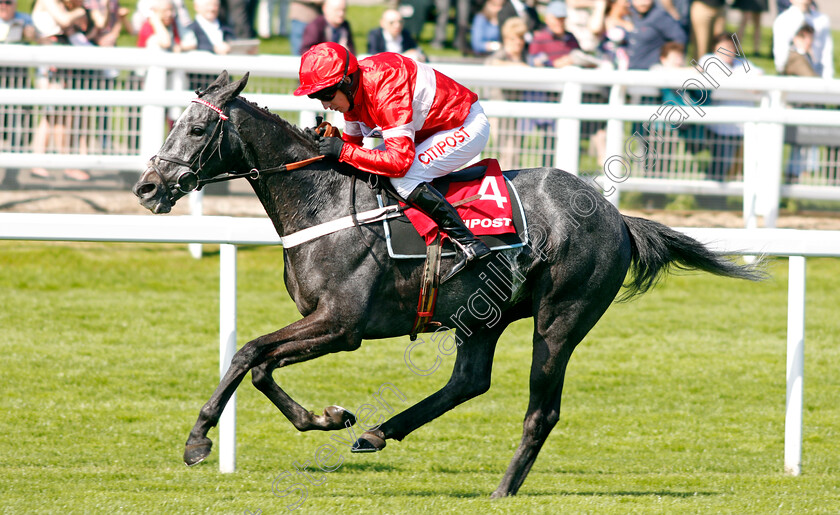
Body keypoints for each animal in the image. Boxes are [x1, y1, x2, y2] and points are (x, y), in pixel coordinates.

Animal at [133, 70, 760, 498]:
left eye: (195, 127)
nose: (147, 187)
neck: (323, 202)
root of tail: (615, 216)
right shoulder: (323, 322)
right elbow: (262, 365)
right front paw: (329, 418)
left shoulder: (342, 325)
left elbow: (247, 352)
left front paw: (198, 440)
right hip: (483, 316)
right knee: (469, 381)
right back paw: (377, 433)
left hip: (561, 318)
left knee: (541, 409)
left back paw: (502, 488)